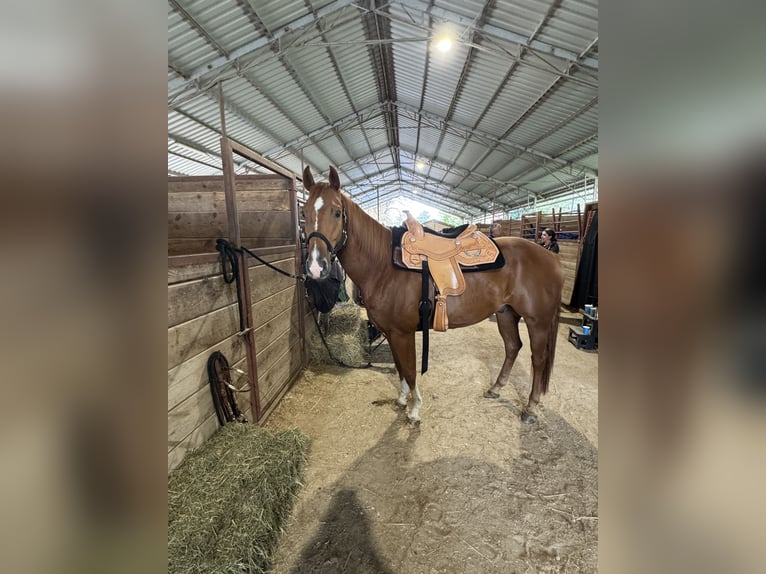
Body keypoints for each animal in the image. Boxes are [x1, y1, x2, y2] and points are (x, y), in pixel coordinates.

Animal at [302, 166, 563, 425]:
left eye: (337, 212)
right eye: (304, 213)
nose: (316, 266)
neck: (383, 267)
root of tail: (551, 258)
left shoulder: (403, 333)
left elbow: (409, 370)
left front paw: (415, 409)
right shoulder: (391, 333)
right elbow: (400, 368)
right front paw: (402, 399)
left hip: (537, 322)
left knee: (538, 359)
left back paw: (530, 407)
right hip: (506, 314)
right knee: (512, 347)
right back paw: (496, 388)